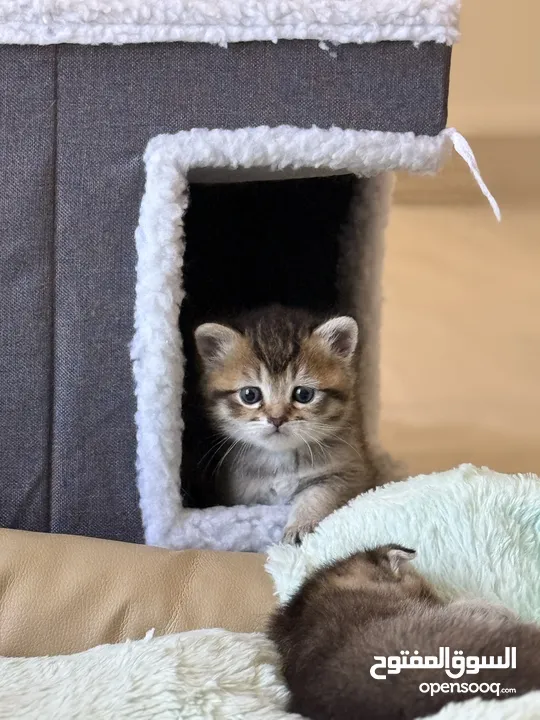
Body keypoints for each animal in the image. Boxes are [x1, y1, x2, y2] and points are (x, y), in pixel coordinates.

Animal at [195, 300, 380, 544]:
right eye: (249, 395)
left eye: (303, 394)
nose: (276, 419)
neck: (281, 459)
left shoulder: (350, 471)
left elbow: (320, 495)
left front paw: (302, 525)